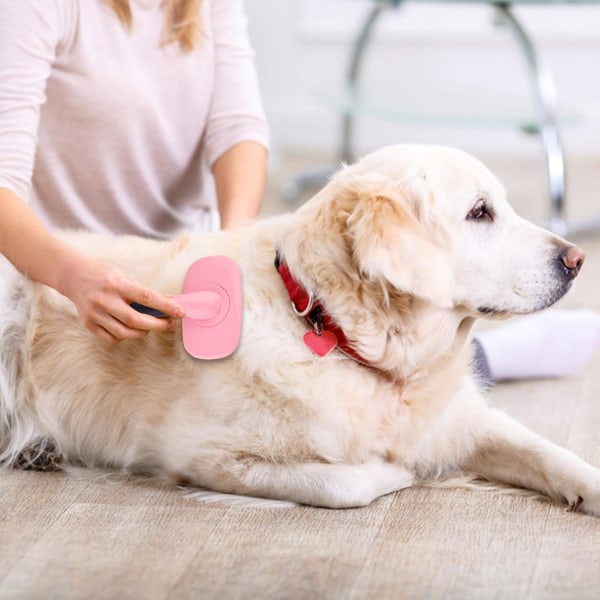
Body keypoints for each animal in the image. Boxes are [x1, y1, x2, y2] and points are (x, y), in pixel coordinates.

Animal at [2, 146, 596, 516]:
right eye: (479, 212)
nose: (576, 259)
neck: (335, 332)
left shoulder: (462, 420)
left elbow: (552, 455)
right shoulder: (201, 454)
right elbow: (347, 480)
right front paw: (395, 471)